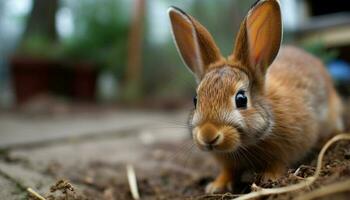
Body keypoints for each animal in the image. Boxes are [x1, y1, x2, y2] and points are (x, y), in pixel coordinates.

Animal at [168, 0, 344, 194]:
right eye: (195, 100)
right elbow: (228, 171)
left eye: (241, 99)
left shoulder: (286, 150)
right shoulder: (228, 162)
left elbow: (278, 164)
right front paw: (216, 186)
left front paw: (270, 178)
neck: (247, 144)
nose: (208, 135)